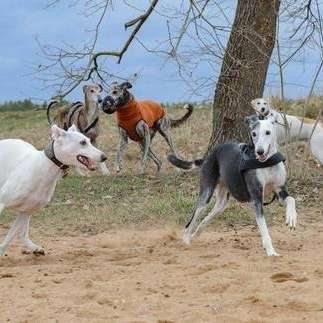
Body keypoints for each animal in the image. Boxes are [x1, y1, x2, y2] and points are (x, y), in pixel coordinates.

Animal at [0, 124, 107, 256]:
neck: (43, 167)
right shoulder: (2, 203)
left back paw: (35, 248)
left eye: (89, 140)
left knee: (22, 234)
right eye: (82, 142)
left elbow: (10, 237)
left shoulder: (26, 211)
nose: (104, 157)